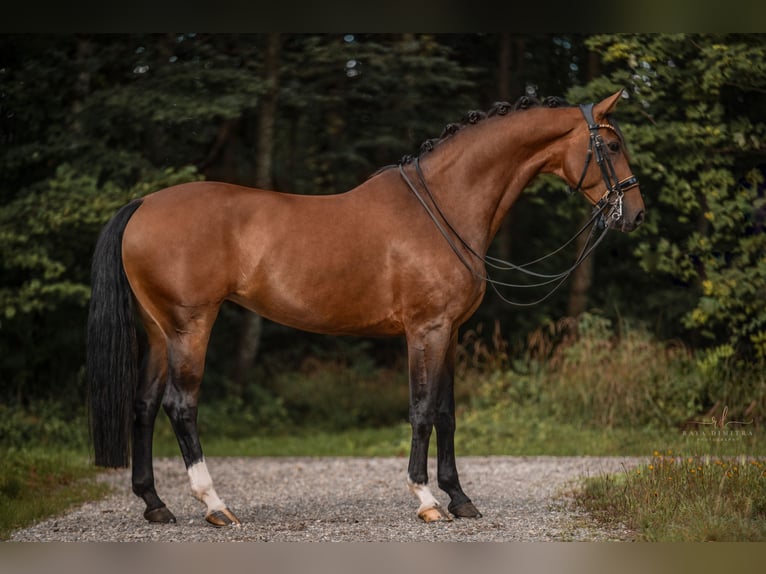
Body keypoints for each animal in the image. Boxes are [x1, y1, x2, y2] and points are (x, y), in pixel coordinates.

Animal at [87, 89, 644, 528]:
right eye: (613, 145)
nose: (634, 215)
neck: (444, 205)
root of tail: (143, 205)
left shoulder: (451, 332)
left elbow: (447, 413)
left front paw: (460, 498)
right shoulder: (425, 330)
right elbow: (422, 410)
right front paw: (425, 499)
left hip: (159, 331)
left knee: (143, 406)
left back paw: (155, 505)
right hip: (191, 327)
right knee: (181, 406)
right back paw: (215, 505)